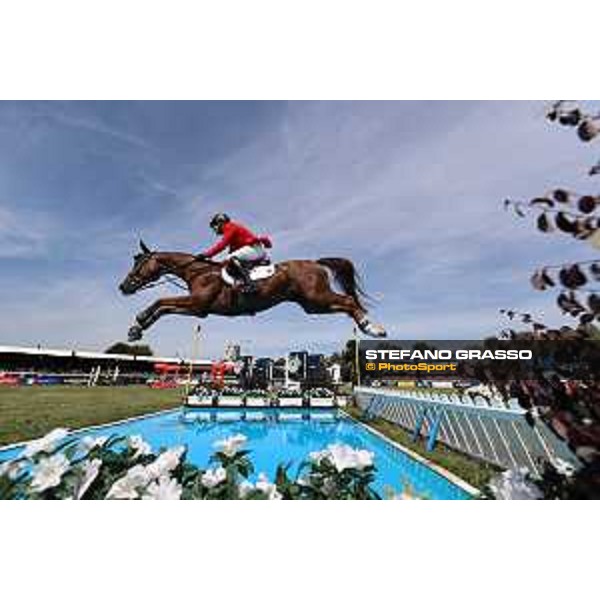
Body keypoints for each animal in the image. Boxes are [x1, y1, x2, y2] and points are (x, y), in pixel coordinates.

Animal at [119, 240, 386, 342]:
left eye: (138, 263)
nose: (123, 287)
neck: (196, 271)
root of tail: (314, 262)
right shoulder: (199, 309)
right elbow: (163, 307)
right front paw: (136, 329)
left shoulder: (197, 302)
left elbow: (161, 300)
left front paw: (139, 320)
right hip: (313, 305)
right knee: (344, 304)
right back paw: (369, 326)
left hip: (317, 297)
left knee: (349, 301)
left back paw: (372, 328)